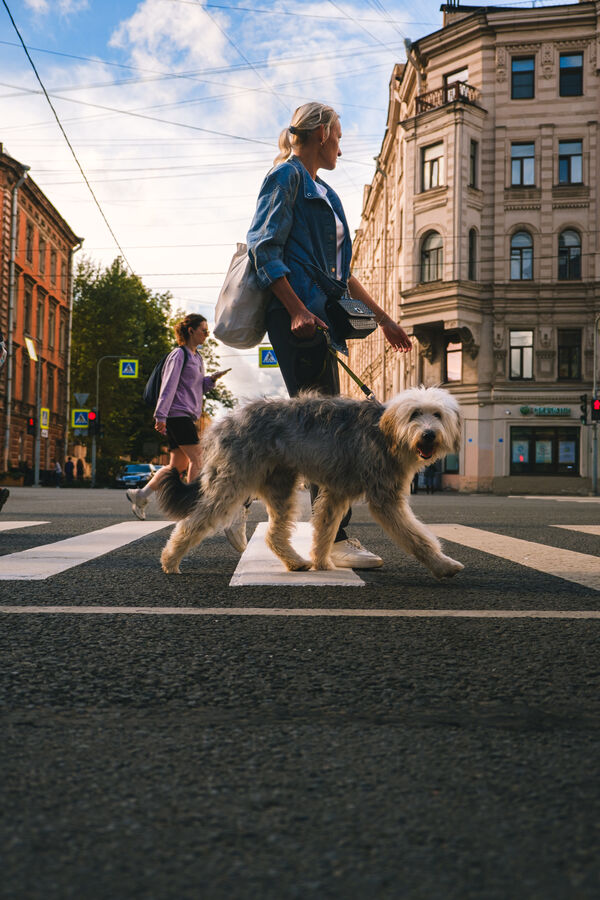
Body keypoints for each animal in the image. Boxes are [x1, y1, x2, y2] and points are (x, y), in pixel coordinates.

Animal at [156, 384, 464, 580]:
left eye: (437, 415)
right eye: (415, 414)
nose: (428, 435)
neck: (386, 432)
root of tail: (224, 422)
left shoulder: (336, 494)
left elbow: (325, 531)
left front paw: (321, 562)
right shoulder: (384, 499)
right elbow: (416, 537)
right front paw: (442, 565)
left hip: (280, 488)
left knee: (273, 534)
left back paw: (295, 562)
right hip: (233, 483)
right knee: (193, 522)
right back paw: (170, 561)